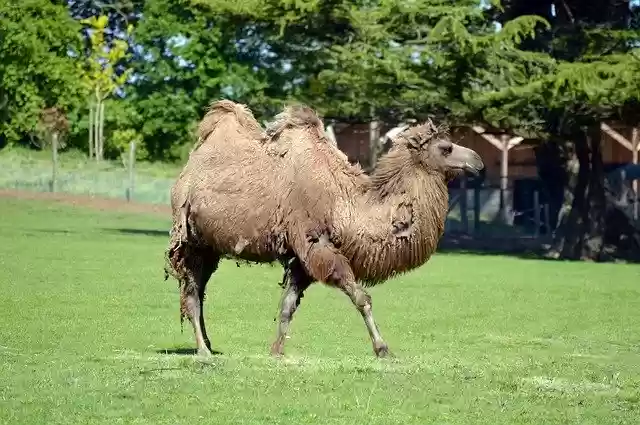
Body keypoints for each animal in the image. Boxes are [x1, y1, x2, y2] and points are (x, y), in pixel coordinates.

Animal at [165, 99, 484, 358]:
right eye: (446, 148)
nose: (478, 161)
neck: (346, 204)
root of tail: (188, 170)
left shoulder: (302, 259)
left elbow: (287, 305)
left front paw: (276, 351)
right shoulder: (316, 244)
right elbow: (361, 298)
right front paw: (382, 349)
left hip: (210, 246)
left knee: (199, 291)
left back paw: (208, 343)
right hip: (188, 236)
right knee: (192, 292)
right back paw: (203, 351)